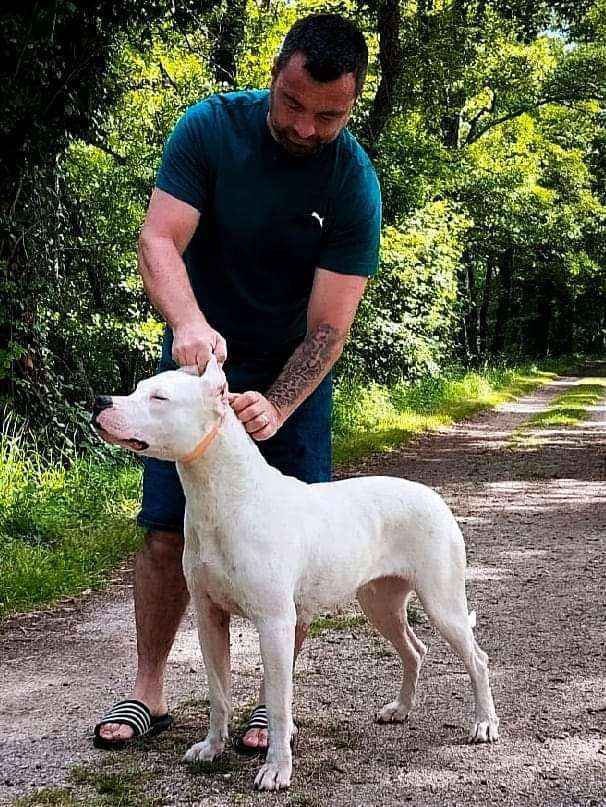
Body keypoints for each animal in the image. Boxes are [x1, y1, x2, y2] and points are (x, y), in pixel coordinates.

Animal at [92, 359, 499, 791]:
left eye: (160, 398)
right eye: (139, 388)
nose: (100, 401)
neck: (223, 497)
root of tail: (434, 496)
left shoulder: (275, 624)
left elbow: (277, 704)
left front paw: (276, 768)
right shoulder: (209, 618)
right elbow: (218, 694)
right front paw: (212, 747)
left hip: (443, 603)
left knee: (477, 658)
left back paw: (484, 723)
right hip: (380, 603)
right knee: (414, 650)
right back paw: (401, 708)